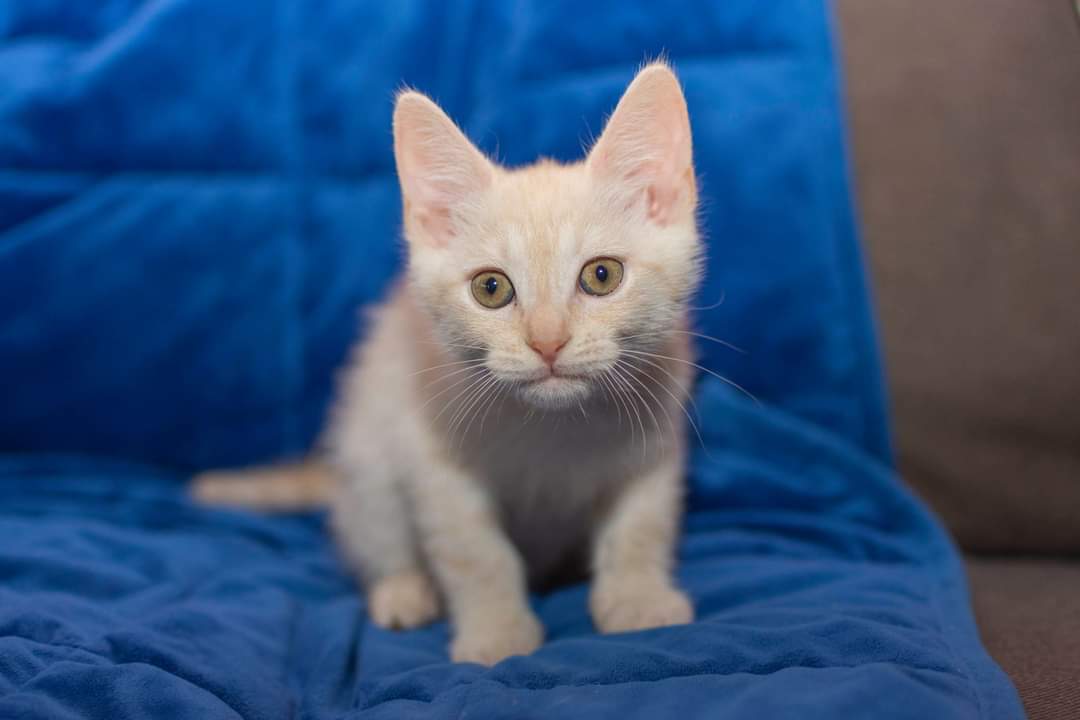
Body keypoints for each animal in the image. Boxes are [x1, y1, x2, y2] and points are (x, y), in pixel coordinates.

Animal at [194, 62, 703, 666]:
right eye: (491, 288)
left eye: (602, 275)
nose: (547, 342)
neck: (553, 425)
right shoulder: (434, 459)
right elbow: (476, 552)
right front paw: (496, 634)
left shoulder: (656, 439)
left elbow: (640, 526)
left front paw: (638, 601)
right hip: (367, 451)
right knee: (377, 532)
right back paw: (402, 591)